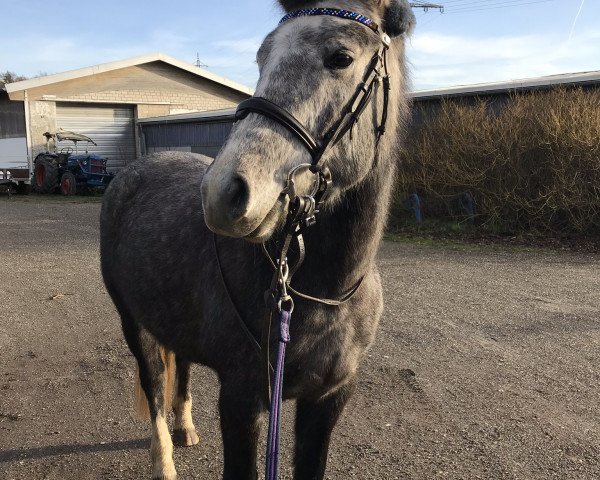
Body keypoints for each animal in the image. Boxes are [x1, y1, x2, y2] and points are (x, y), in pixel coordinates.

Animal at [101, 1, 414, 478]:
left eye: (341, 57)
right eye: (262, 58)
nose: (223, 193)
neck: (320, 293)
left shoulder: (327, 400)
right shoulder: (241, 402)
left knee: (182, 367)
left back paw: (185, 426)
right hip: (133, 323)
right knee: (153, 386)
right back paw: (164, 460)